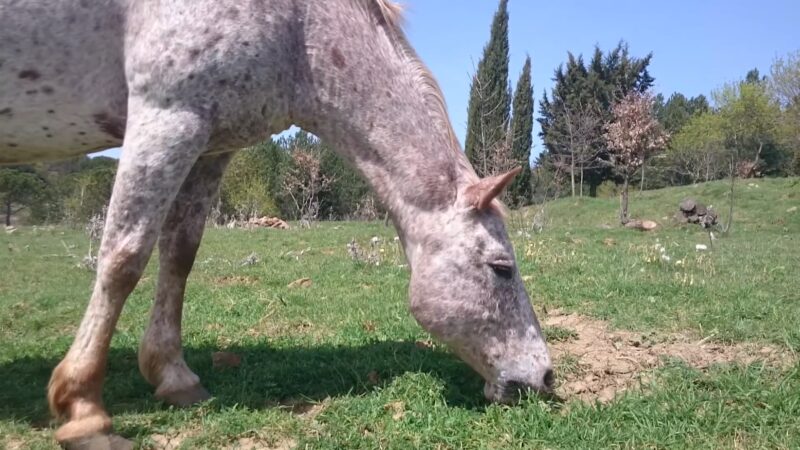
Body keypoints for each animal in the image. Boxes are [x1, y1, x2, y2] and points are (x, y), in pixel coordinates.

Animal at [0, 0, 552, 442]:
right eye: (501, 268)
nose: (543, 377)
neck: (297, 29)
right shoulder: (166, 118)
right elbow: (123, 258)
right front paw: (83, 407)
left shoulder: (210, 142)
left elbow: (180, 255)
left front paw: (174, 377)